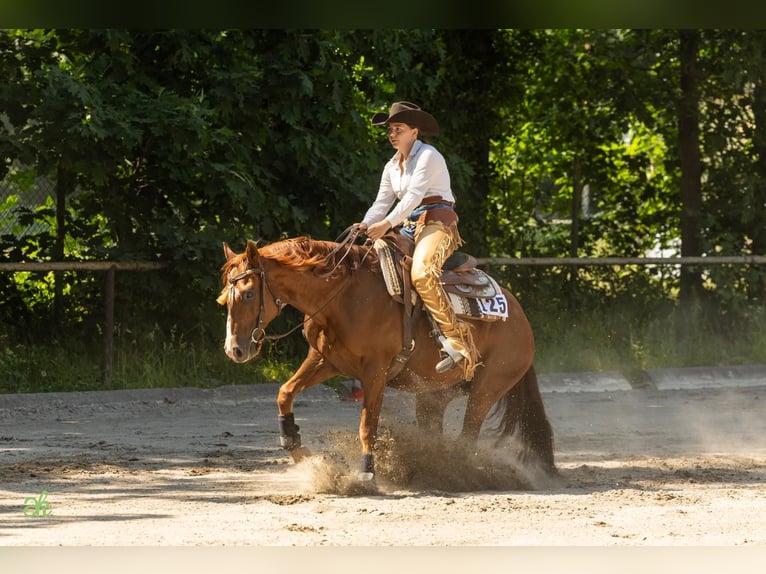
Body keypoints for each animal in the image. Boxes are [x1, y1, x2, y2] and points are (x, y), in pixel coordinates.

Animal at [218, 234, 556, 487]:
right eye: (224, 297)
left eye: (248, 294)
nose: (234, 350)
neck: (343, 297)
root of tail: (520, 317)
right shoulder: (325, 360)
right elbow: (285, 393)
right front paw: (296, 447)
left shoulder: (375, 372)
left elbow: (368, 425)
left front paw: (366, 473)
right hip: (433, 395)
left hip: (486, 389)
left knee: (468, 436)